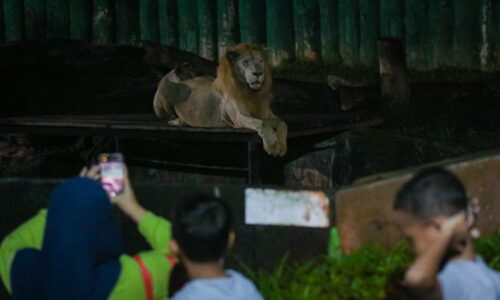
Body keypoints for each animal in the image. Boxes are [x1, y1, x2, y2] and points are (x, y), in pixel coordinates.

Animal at [152, 44, 288, 158]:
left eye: (261, 61)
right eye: (246, 62)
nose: (258, 73)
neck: (251, 92)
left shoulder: (266, 114)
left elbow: (283, 123)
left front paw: (282, 146)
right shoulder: (239, 117)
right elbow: (262, 123)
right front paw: (273, 146)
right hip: (167, 88)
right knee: (168, 116)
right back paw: (179, 121)